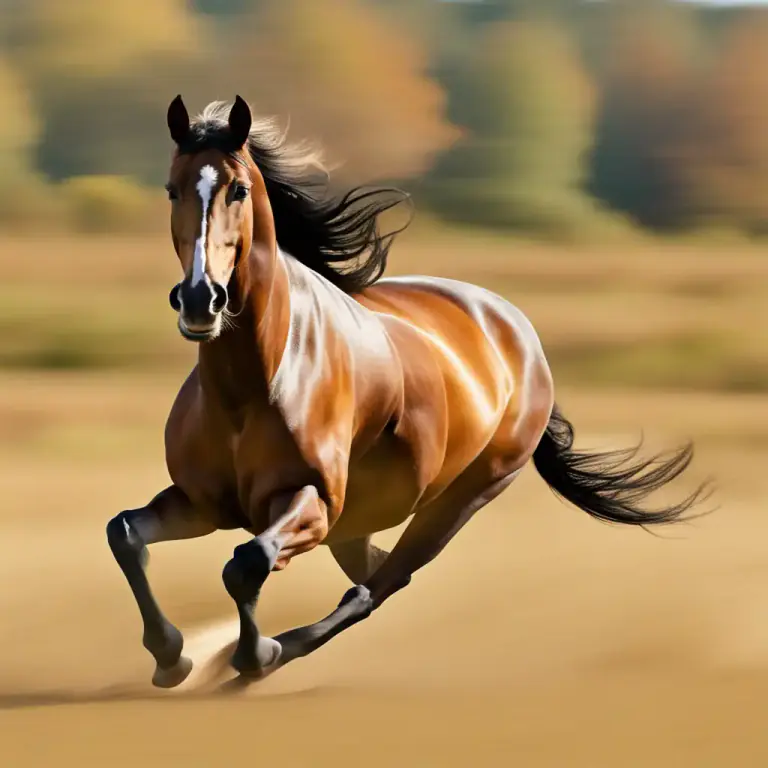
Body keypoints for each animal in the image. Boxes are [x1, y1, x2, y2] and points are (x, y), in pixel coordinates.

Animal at [106, 95, 710, 689]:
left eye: (239, 189)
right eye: (173, 188)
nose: (199, 299)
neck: (251, 390)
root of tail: (519, 335)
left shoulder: (313, 503)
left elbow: (247, 561)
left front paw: (251, 653)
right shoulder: (200, 502)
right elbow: (126, 533)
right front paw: (171, 656)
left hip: (459, 501)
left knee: (376, 587)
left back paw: (274, 652)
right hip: (360, 522)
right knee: (371, 575)